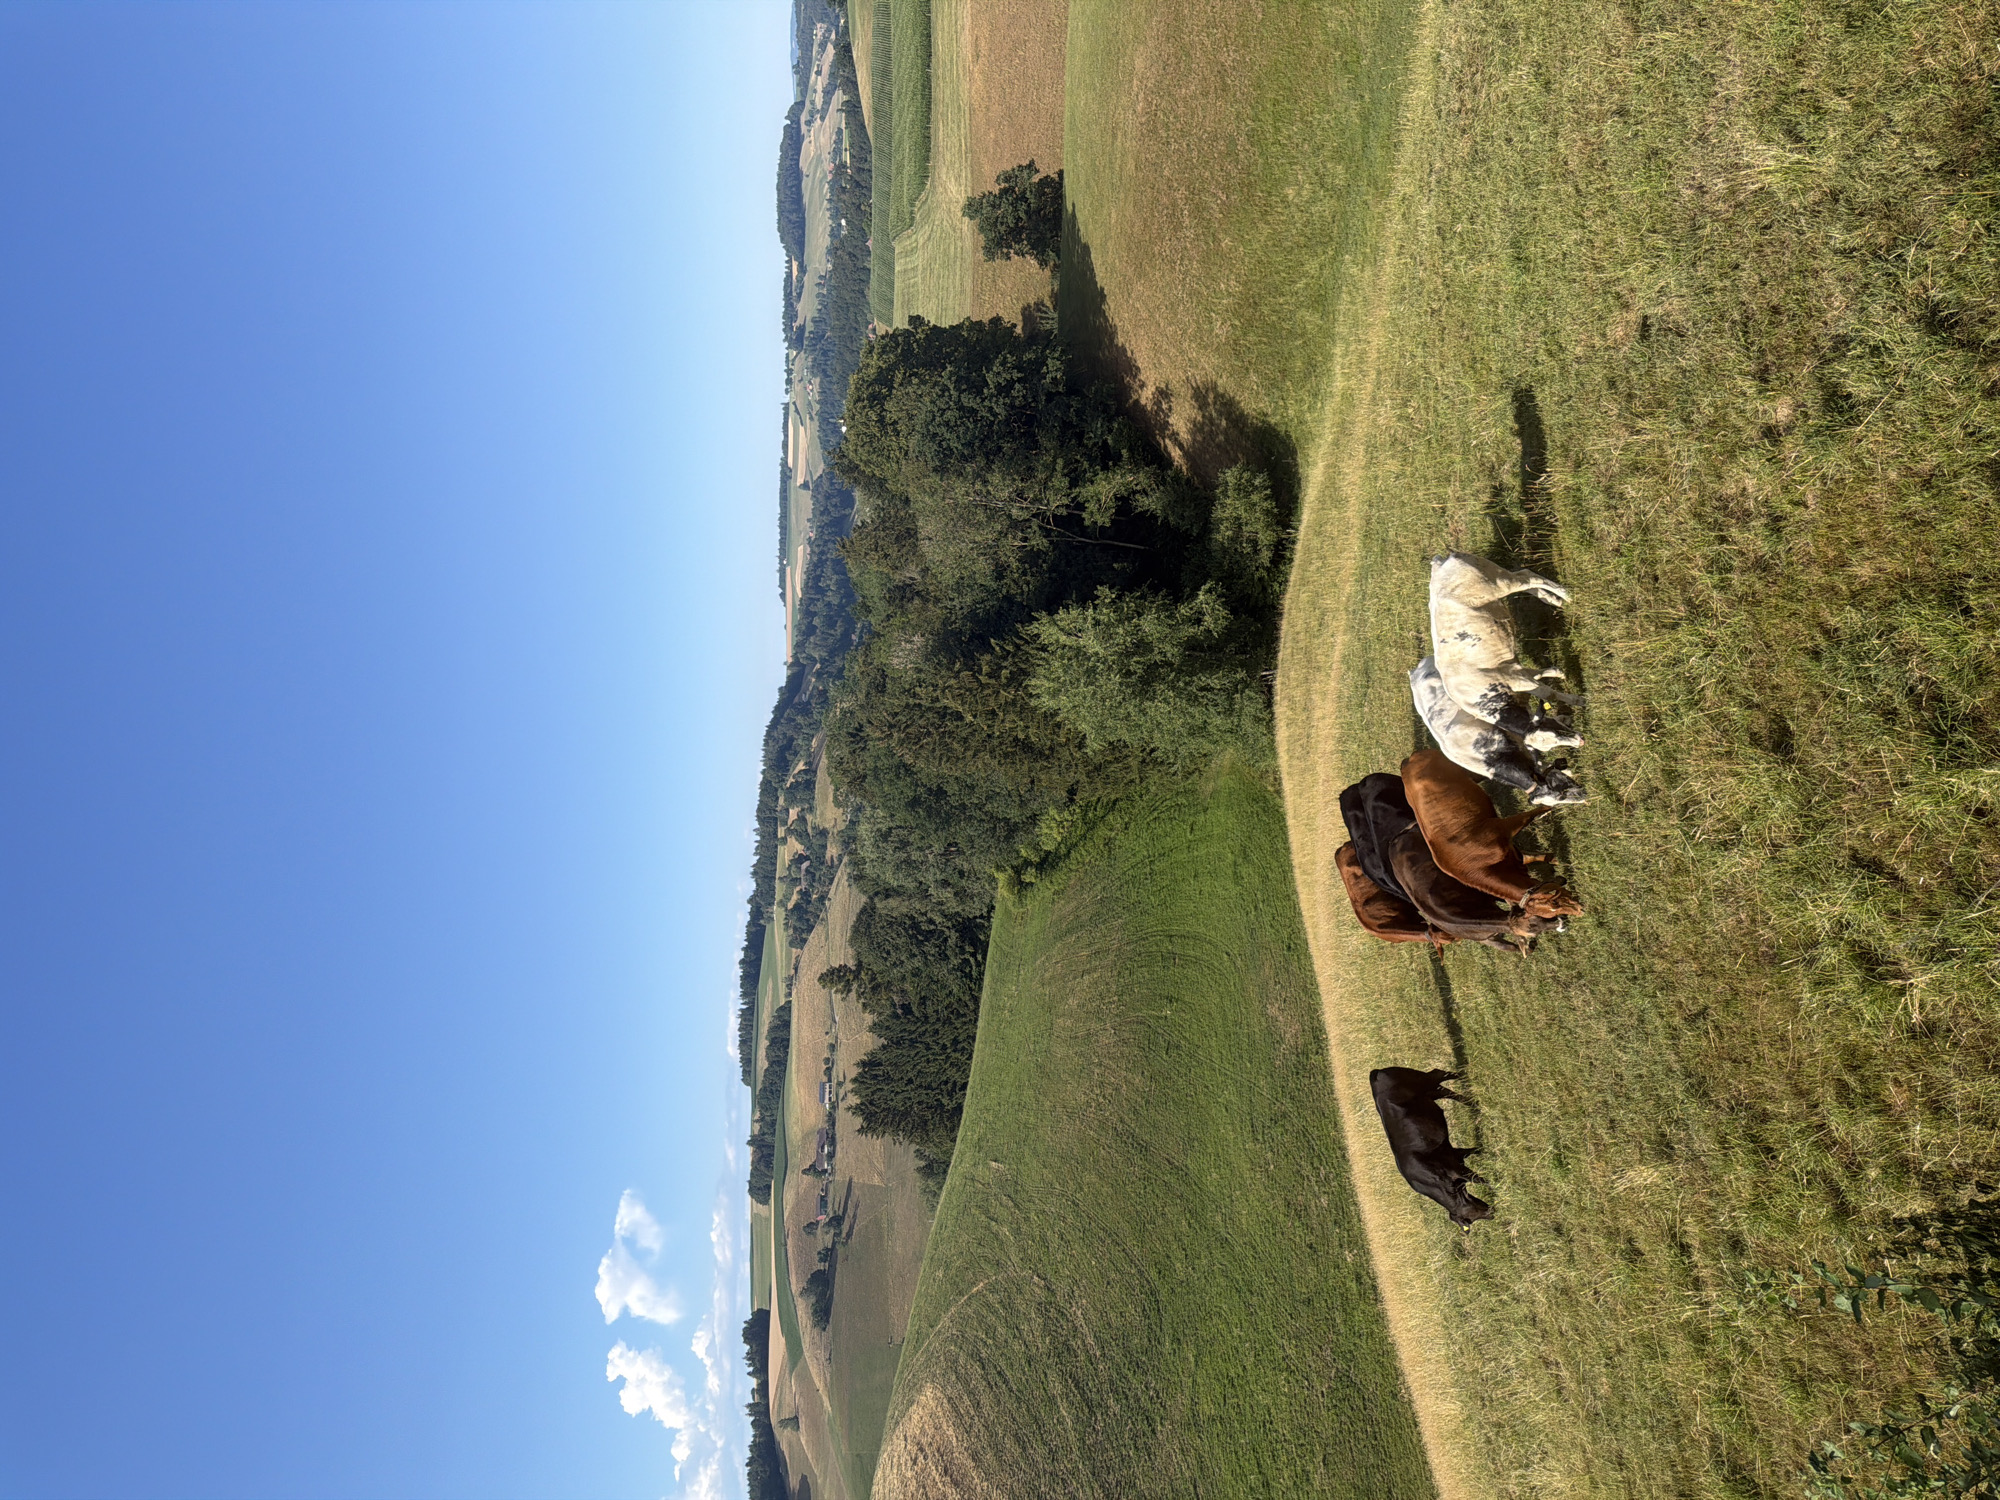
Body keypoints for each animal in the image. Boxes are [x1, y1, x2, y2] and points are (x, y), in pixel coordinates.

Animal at [1370, 1066, 1492, 1228]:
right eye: (1471, 1220)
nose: (1492, 1212)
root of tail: (1376, 1074)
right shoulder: (1453, 1156)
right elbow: (1471, 1154)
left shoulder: (1455, 1167)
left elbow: (1477, 1178)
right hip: (1430, 1092)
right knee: (1446, 1090)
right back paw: (1471, 1101)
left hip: (1423, 1081)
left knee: (1439, 1074)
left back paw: (1463, 1076)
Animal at [1387, 825, 1566, 954]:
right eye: (1533, 932)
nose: (1560, 923)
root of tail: (1396, 840)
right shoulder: (1486, 938)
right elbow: (1511, 947)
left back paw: (1552, 860)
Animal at [1401, 749, 1583, 920]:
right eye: (1555, 905)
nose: (1580, 910)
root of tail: (1409, 761)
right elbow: (1531, 855)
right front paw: (1553, 858)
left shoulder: (1503, 827)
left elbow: (1529, 815)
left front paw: (1548, 805)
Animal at [1429, 552, 1581, 752]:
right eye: (1550, 742)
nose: (1579, 742)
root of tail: (1440, 564)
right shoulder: (1513, 670)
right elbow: (1538, 675)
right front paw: (1558, 673)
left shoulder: (1517, 679)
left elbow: (1550, 694)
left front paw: (1579, 700)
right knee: (1528, 580)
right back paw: (1554, 600)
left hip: (1499, 582)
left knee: (1527, 578)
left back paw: (1565, 594)